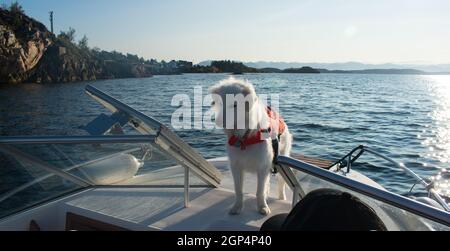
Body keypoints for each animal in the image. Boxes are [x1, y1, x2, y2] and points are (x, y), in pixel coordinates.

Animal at [210, 77, 294, 215]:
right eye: (221, 103)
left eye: (235, 104)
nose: (219, 122)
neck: (244, 137)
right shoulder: (236, 166)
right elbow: (238, 190)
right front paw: (237, 207)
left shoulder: (263, 166)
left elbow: (259, 191)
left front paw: (262, 207)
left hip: (281, 160)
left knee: (280, 183)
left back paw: (281, 198)